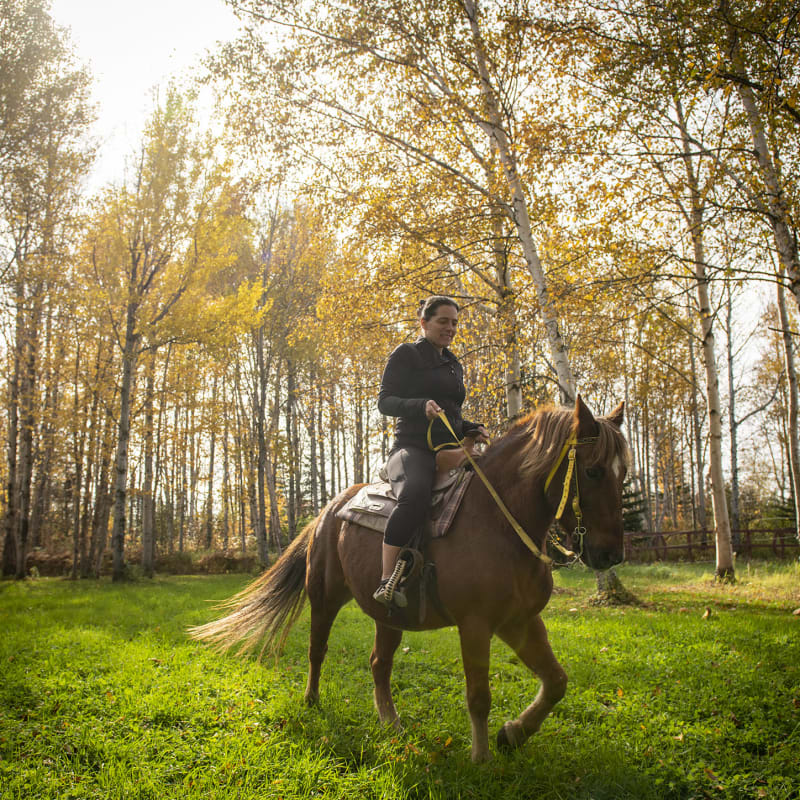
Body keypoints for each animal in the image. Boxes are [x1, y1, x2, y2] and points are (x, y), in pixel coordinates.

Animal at [190, 395, 628, 762]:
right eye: (592, 471)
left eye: (624, 474)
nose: (611, 555)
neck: (499, 519)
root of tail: (328, 510)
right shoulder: (475, 624)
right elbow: (479, 695)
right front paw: (482, 759)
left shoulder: (519, 620)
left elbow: (556, 681)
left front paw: (513, 734)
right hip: (324, 598)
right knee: (318, 650)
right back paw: (312, 700)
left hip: (389, 617)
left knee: (379, 663)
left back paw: (391, 722)